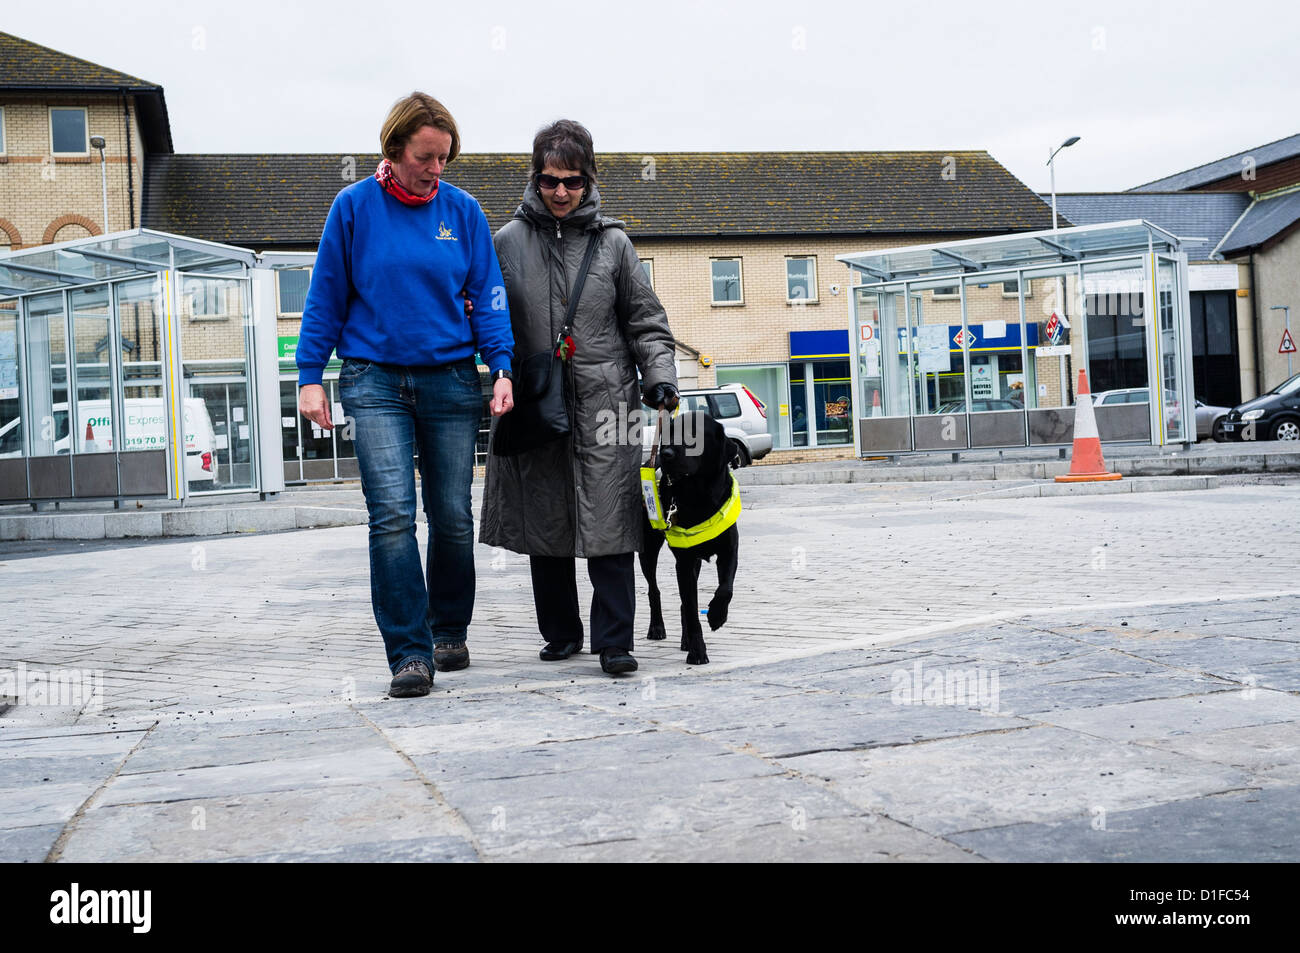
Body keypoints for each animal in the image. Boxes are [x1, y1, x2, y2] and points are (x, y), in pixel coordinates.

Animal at [639, 413, 743, 665]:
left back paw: (685, 639)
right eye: (670, 433)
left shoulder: (729, 550)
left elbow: (725, 588)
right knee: (654, 589)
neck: (699, 497)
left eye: (694, 435)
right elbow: (691, 608)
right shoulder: (684, 561)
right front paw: (697, 651)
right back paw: (657, 628)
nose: (666, 453)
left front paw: (716, 616)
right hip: (648, 549)